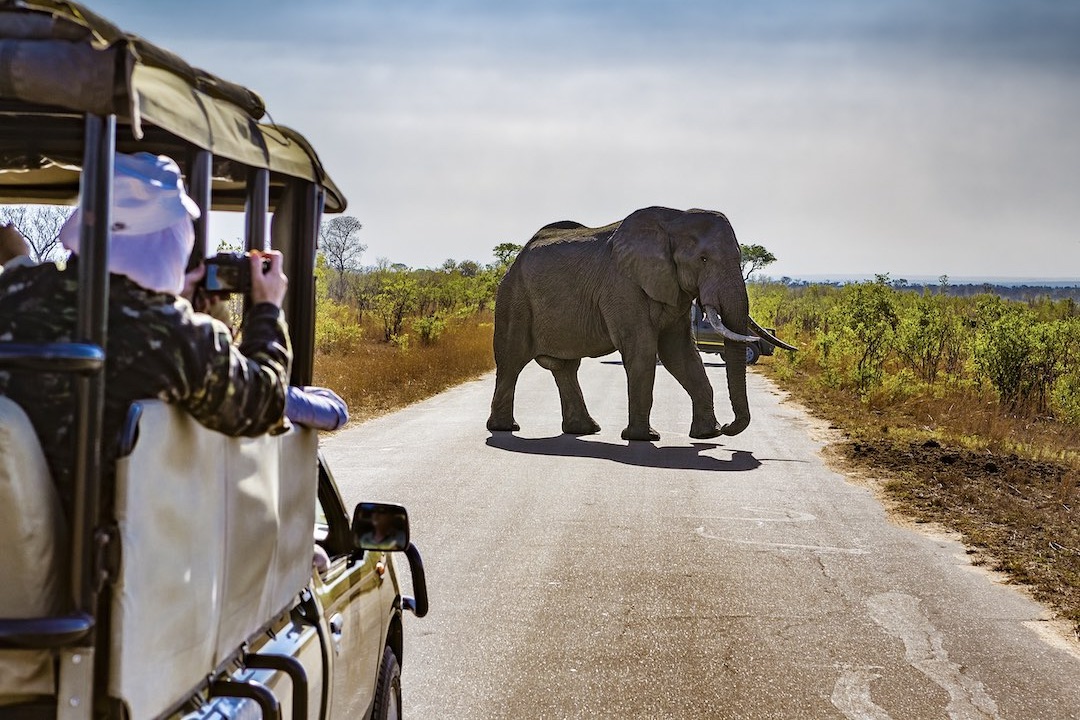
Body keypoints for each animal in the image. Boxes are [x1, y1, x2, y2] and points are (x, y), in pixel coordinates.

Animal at [486, 206, 795, 441]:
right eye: (703, 259)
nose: (731, 427)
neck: (674, 220)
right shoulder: (622, 286)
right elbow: (643, 350)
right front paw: (645, 438)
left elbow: (680, 353)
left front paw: (708, 434)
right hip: (514, 298)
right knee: (512, 360)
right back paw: (505, 428)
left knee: (565, 367)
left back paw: (585, 430)